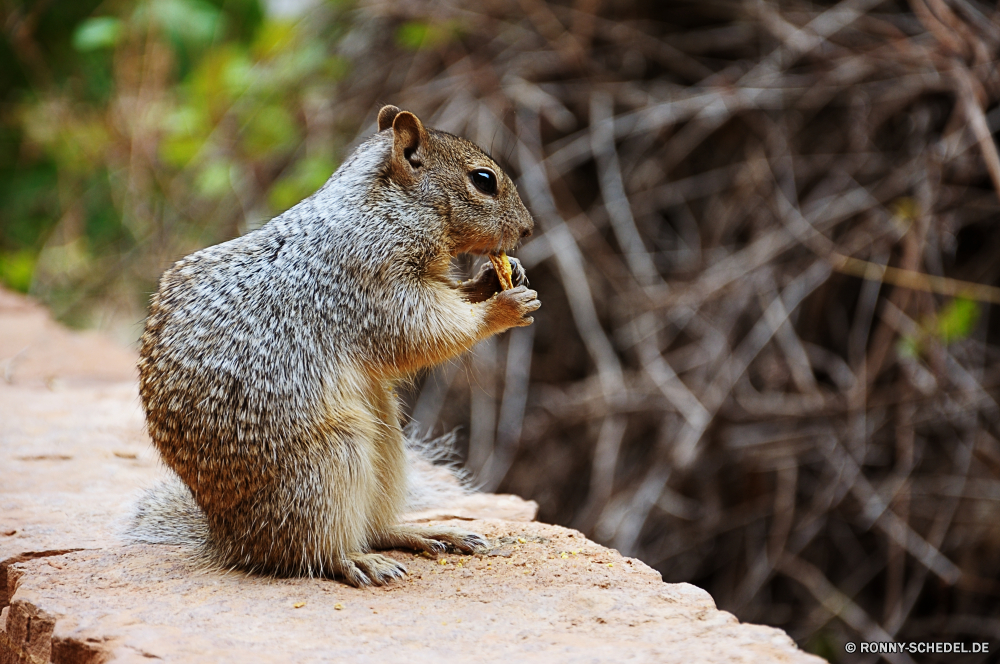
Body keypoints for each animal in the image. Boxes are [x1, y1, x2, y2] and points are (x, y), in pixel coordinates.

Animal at [133, 104, 544, 588]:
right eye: (483, 180)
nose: (528, 229)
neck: (382, 208)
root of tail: (229, 539)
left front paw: (493, 278)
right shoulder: (376, 287)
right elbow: (425, 332)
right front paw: (503, 306)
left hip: (385, 441)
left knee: (374, 528)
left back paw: (429, 533)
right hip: (333, 459)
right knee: (314, 551)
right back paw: (358, 561)